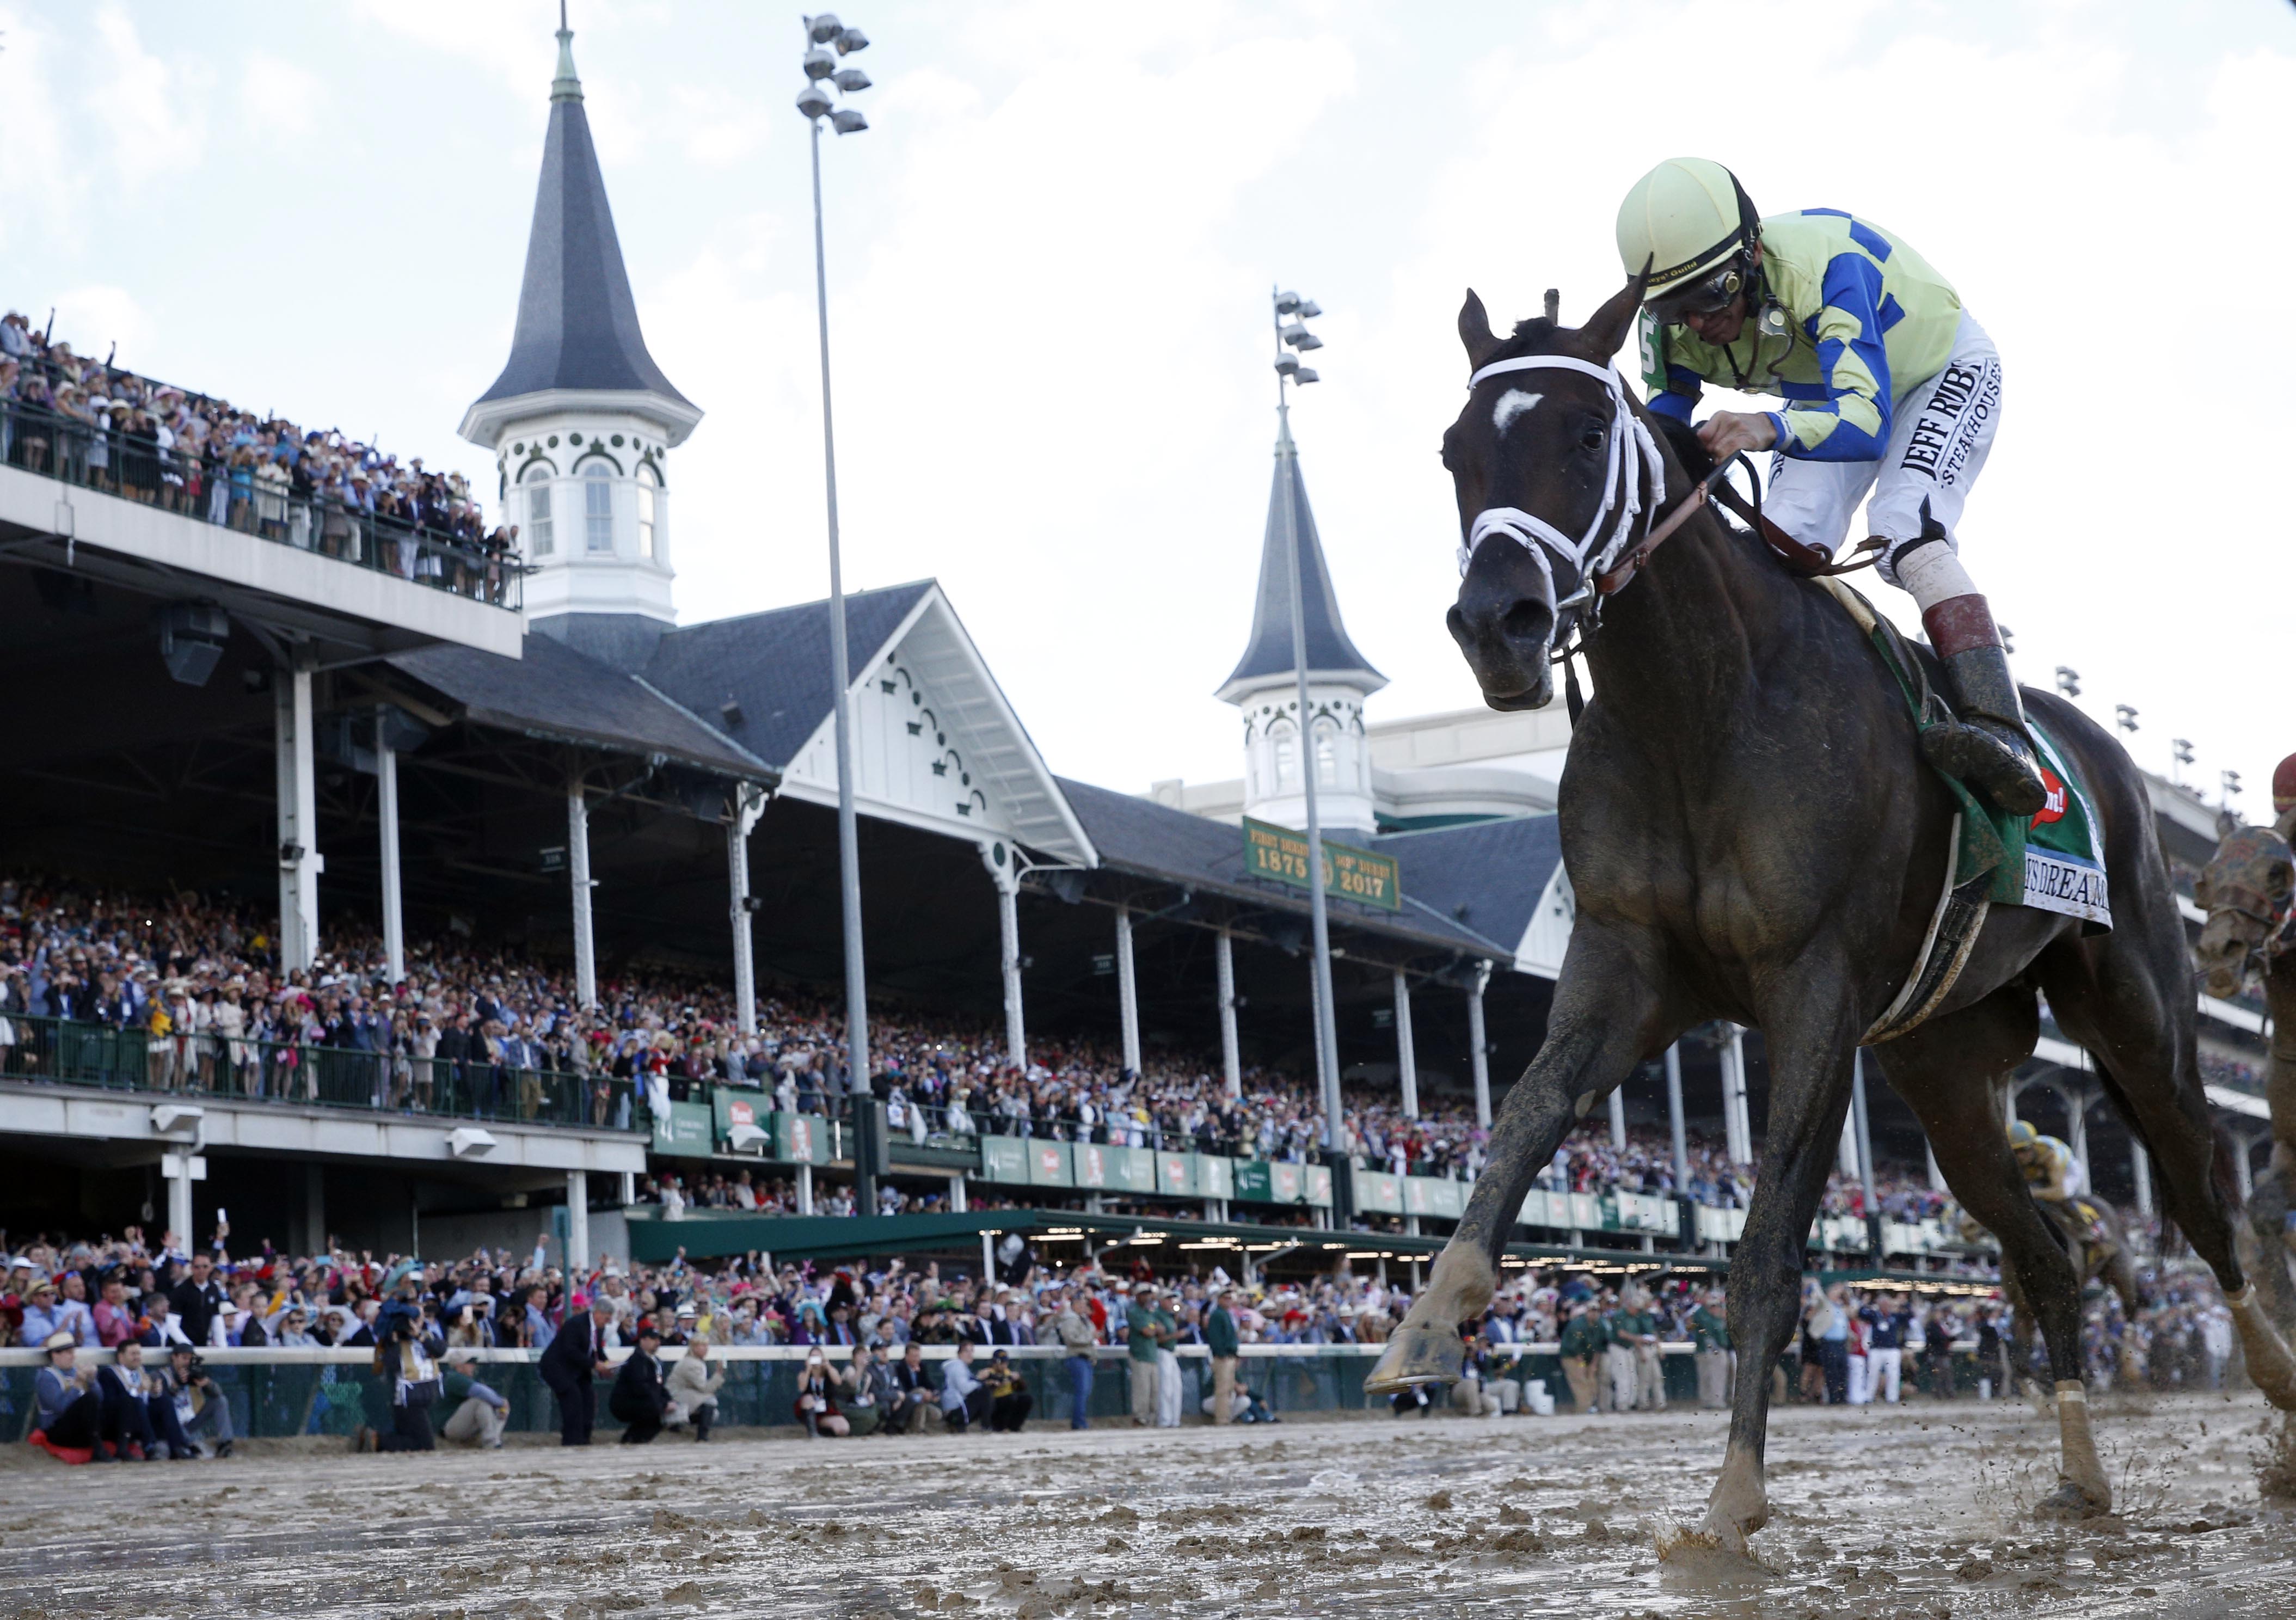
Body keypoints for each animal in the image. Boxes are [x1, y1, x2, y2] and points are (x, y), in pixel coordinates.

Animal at [1359, 274, 2296, 1542]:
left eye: (1590, 434)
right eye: (1454, 450)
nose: (1496, 623)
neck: (1697, 708)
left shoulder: (1810, 988)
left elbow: (1764, 1246)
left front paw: (1731, 1502)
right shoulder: (1622, 969)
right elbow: (1518, 1128)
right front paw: (1426, 1324)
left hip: (2140, 1017)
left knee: (2205, 1202)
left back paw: (2277, 1388)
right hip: (1946, 1077)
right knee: (2046, 1260)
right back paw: (2082, 1474)